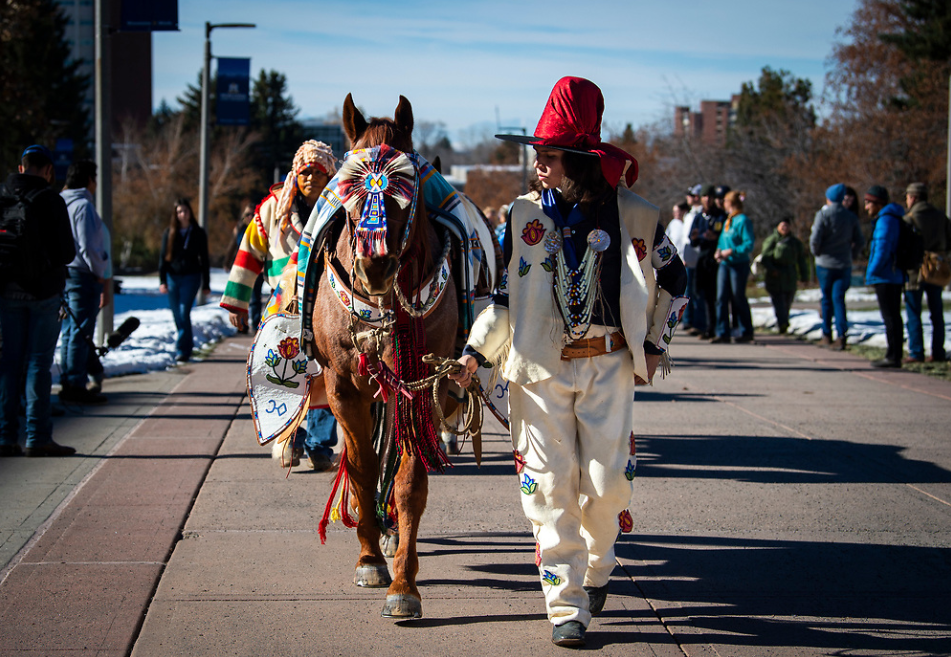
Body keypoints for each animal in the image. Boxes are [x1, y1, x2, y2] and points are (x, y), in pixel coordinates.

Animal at [310, 95, 460, 616]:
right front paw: (370, 559)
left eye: (405, 190)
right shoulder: (342, 386)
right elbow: (361, 468)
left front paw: (404, 585)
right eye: (348, 186)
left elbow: (409, 480)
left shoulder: (424, 386)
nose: (375, 265)